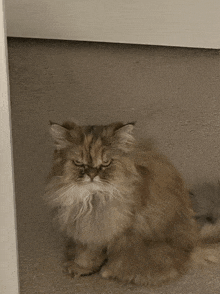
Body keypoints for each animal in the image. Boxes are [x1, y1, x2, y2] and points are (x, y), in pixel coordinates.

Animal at [44, 120, 220, 286]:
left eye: (106, 163)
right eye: (79, 163)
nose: (92, 175)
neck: (91, 199)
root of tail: (191, 246)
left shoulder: (103, 228)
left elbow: (93, 254)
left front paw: (90, 269)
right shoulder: (84, 227)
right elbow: (84, 251)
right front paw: (79, 265)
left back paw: (111, 271)